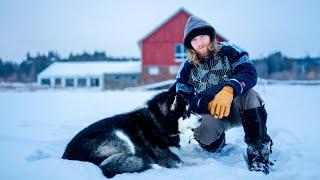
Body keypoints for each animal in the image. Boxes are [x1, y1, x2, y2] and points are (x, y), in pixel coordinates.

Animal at [61, 83, 189, 179]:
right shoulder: (166, 157)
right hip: (121, 136)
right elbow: (177, 162)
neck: (157, 122)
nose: (200, 118)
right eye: (187, 113)